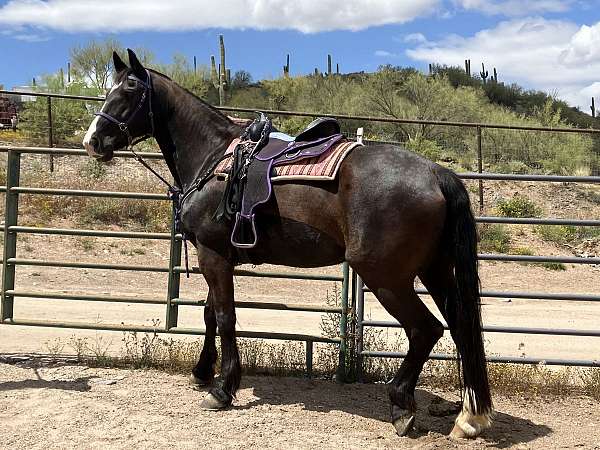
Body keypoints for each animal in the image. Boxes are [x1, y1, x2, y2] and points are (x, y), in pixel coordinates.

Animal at [83, 50, 492, 440]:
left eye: (130, 89)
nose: (92, 141)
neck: (215, 157)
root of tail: (437, 173)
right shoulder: (215, 255)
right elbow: (209, 314)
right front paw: (202, 372)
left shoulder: (212, 255)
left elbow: (225, 316)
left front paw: (223, 388)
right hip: (434, 270)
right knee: (460, 327)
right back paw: (469, 418)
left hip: (386, 278)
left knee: (426, 330)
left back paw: (402, 405)